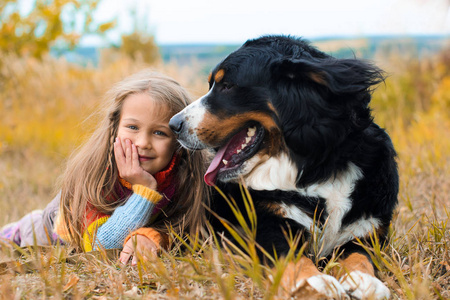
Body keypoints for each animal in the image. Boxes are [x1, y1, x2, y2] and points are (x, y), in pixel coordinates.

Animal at [169, 35, 398, 300]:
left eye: (227, 86)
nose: (173, 124)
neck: (315, 169)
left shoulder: (366, 230)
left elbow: (360, 256)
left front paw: (364, 281)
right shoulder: (269, 225)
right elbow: (292, 258)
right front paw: (316, 283)